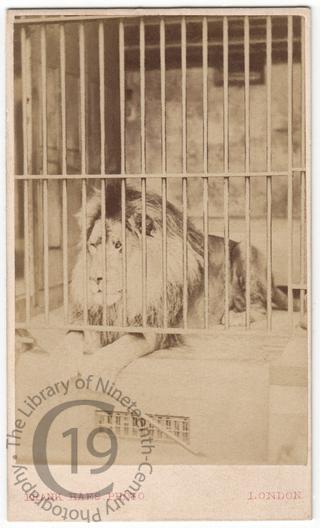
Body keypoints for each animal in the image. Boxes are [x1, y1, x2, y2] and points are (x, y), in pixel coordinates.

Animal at [63, 184, 292, 378]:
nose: (94, 278)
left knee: (261, 307)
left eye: (119, 245)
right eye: (93, 245)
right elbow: (69, 339)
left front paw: (94, 366)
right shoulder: (90, 318)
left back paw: (235, 317)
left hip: (245, 249)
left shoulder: (154, 330)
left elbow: (120, 347)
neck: (127, 297)